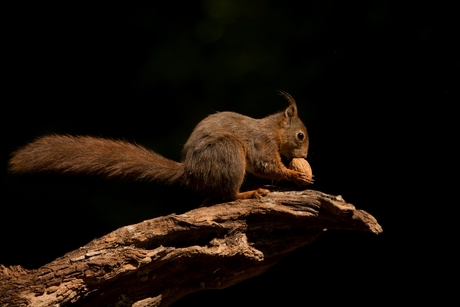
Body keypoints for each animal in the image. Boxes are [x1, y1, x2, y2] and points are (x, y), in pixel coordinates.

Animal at [9, 91, 312, 202]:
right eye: (300, 136)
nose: (306, 155)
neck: (274, 130)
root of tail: (191, 172)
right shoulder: (262, 144)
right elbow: (266, 164)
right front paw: (295, 174)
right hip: (227, 152)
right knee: (227, 195)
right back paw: (248, 193)